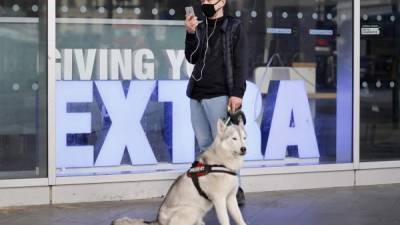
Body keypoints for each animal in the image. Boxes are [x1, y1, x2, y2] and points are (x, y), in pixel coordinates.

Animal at [111, 118, 245, 225]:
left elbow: (239, 218)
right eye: (234, 138)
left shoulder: (231, 198)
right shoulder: (219, 200)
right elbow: (225, 220)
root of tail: (158, 221)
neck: (223, 162)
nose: (244, 148)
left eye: (244, 138)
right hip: (192, 210)